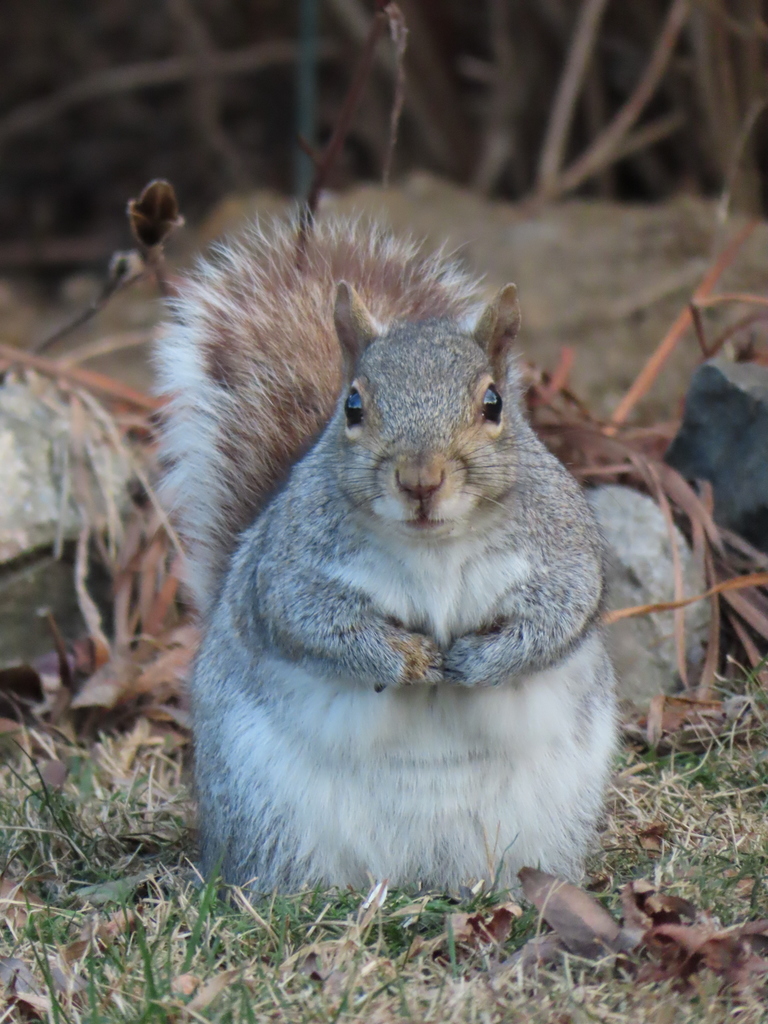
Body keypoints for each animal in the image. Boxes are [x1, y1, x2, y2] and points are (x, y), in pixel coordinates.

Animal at [155, 218, 617, 892]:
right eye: (353, 405)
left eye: (494, 403)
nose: (420, 479)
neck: (433, 545)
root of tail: (417, 872)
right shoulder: (290, 568)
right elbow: (315, 623)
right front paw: (406, 659)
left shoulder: (564, 549)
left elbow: (557, 616)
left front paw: (480, 661)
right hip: (268, 813)